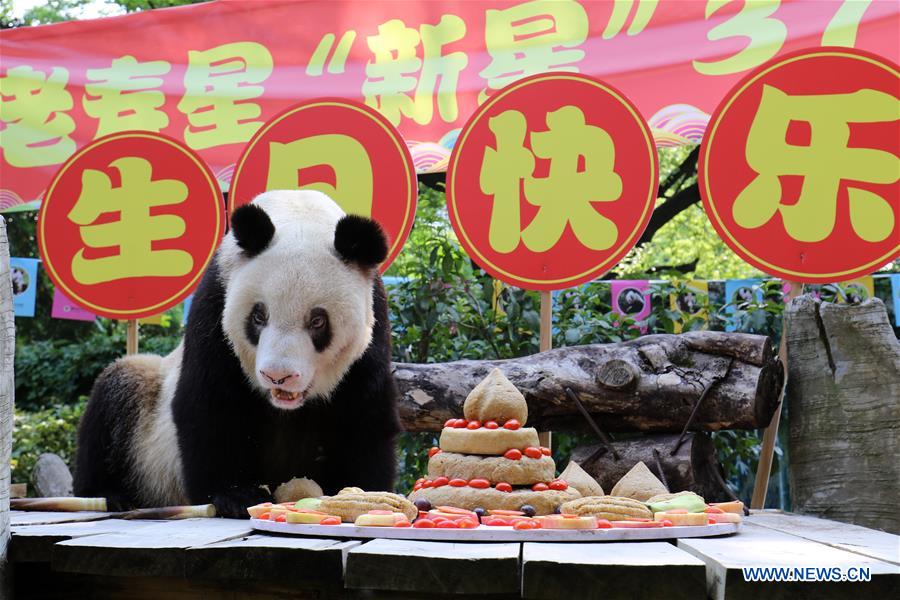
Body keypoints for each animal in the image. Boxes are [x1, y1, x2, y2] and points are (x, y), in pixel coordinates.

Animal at [74, 191, 400, 516]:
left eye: (318, 321)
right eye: (259, 316)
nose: (277, 376)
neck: (300, 213)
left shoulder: (373, 325)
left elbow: (364, 413)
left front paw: (360, 492)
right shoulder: (216, 304)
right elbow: (210, 402)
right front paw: (236, 495)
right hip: (146, 428)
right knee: (116, 395)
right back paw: (110, 494)